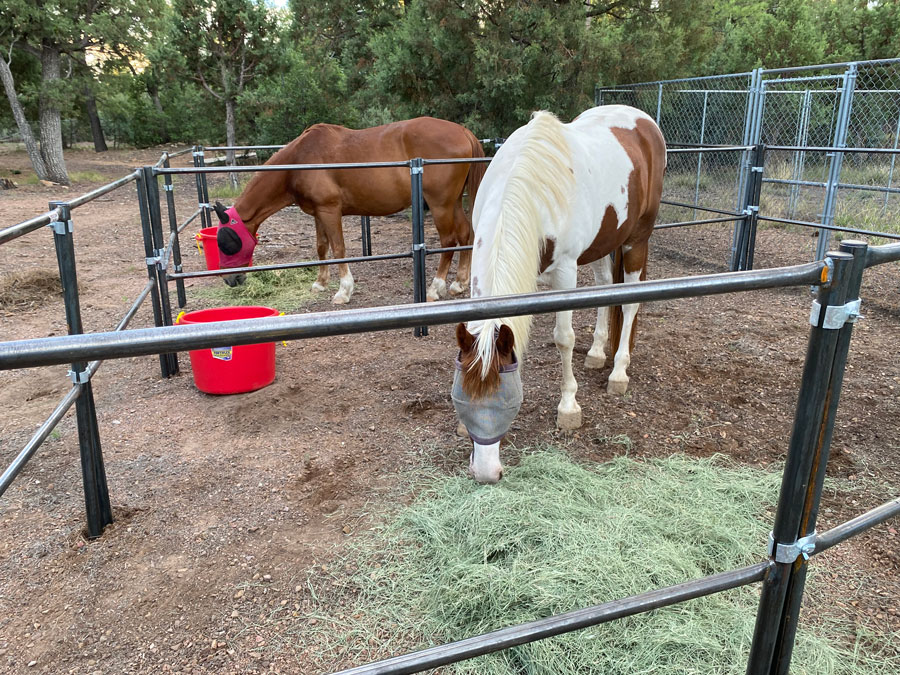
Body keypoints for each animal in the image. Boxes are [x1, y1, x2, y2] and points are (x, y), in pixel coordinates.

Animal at [213, 117, 486, 304]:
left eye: (227, 242)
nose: (230, 280)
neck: (301, 160)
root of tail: (463, 131)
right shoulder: (318, 213)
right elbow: (321, 247)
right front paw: (320, 283)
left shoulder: (330, 211)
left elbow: (339, 249)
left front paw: (344, 291)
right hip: (452, 202)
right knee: (465, 234)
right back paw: (459, 283)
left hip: (440, 204)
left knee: (448, 240)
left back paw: (435, 288)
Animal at [454, 105, 664, 484]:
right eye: (463, 398)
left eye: (507, 401)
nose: (486, 473)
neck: (527, 189)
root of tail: (643, 120)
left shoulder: (566, 273)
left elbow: (563, 338)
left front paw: (569, 407)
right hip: (602, 245)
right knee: (605, 287)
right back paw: (596, 353)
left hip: (636, 239)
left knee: (629, 304)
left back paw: (618, 373)